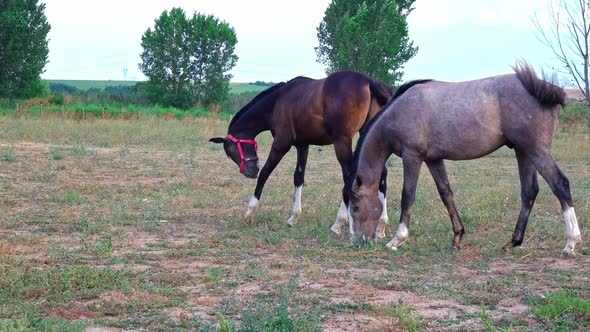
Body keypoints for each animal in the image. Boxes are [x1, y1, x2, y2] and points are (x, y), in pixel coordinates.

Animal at [210, 71, 396, 227]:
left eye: (230, 152)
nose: (250, 171)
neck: (277, 102)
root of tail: (369, 82)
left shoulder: (281, 144)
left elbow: (266, 172)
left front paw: (250, 211)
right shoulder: (302, 145)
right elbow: (298, 177)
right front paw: (294, 217)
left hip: (342, 143)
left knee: (349, 176)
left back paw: (340, 221)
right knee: (382, 173)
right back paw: (381, 223)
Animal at [344, 63, 584, 260]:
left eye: (355, 206)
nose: (355, 242)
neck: (399, 111)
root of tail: (546, 89)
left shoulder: (412, 157)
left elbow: (407, 196)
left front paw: (397, 239)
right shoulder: (433, 160)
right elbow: (446, 194)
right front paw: (457, 238)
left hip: (536, 151)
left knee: (560, 184)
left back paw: (571, 243)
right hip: (523, 152)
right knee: (529, 192)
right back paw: (513, 242)